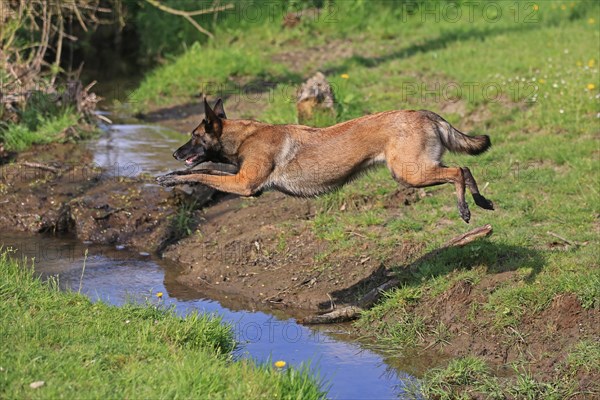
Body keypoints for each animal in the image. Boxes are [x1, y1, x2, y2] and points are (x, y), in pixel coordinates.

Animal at [158, 97, 492, 222]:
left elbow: (202, 173)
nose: (174, 153)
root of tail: (427, 113)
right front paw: (170, 175)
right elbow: (206, 171)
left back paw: (465, 208)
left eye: (194, 137)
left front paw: (172, 177)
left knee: (458, 171)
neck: (244, 136)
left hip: (410, 173)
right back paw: (482, 201)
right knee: (466, 168)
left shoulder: (244, 185)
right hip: (417, 170)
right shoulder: (240, 179)